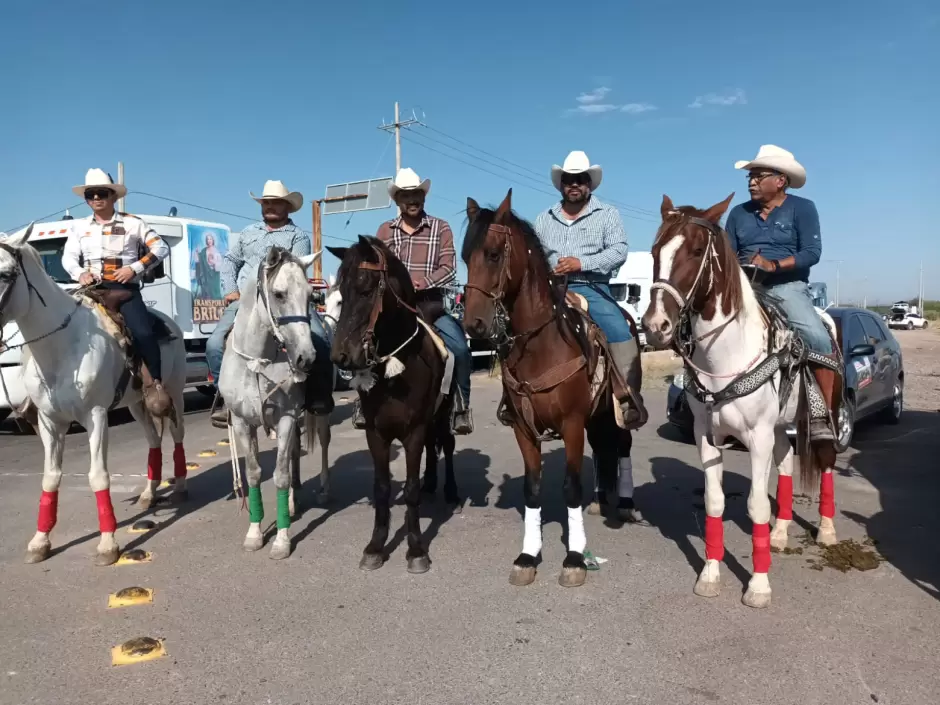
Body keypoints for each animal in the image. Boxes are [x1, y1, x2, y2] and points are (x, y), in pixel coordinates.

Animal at [218, 248, 332, 560]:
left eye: (311, 295)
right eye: (279, 294)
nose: (306, 357)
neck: (260, 361)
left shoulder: (287, 418)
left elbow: (279, 475)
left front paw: (281, 540)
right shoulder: (243, 422)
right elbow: (255, 474)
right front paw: (255, 533)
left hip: (318, 416)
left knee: (322, 443)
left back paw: (322, 489)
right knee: (293, 453)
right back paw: (293, 502)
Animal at [326, 235, 458, 572]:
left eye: (366, 288)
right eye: (340, 293)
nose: (340, 356)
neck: (397, 366)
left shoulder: (414, 431)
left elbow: (409, 490)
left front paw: (416, 549)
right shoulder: (376, 433)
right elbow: (382, 488)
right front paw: (375, 546)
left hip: (443, 415)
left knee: (447, 445)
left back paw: (449, 488)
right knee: (433, 448)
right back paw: (431, 482)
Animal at [460, 190, 640, 584]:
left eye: (493, 254)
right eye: (465, 256)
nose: (473, 325)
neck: (540, 345)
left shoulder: (571, 424)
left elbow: (570, 487)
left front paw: (573, 557)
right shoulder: (524, 429)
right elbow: (532, 490)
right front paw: (528, 556)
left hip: (618, 409)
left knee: (621, 446)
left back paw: (626, 503)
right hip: (596, 415)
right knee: (603, 448)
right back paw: (600, 498)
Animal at [644, 195, 840, 608]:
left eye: (696, 251)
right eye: (655, 252)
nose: (655, 326)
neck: (727, 356)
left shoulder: (757, 437)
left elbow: (756, 505)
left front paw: (759, 585)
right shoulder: (707, 436)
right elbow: (714, 501)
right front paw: (710, 575)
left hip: (825, 413)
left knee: (826, 459)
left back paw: (827, 530)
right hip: (779, 425)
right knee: (786, 460)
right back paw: (780, 532)